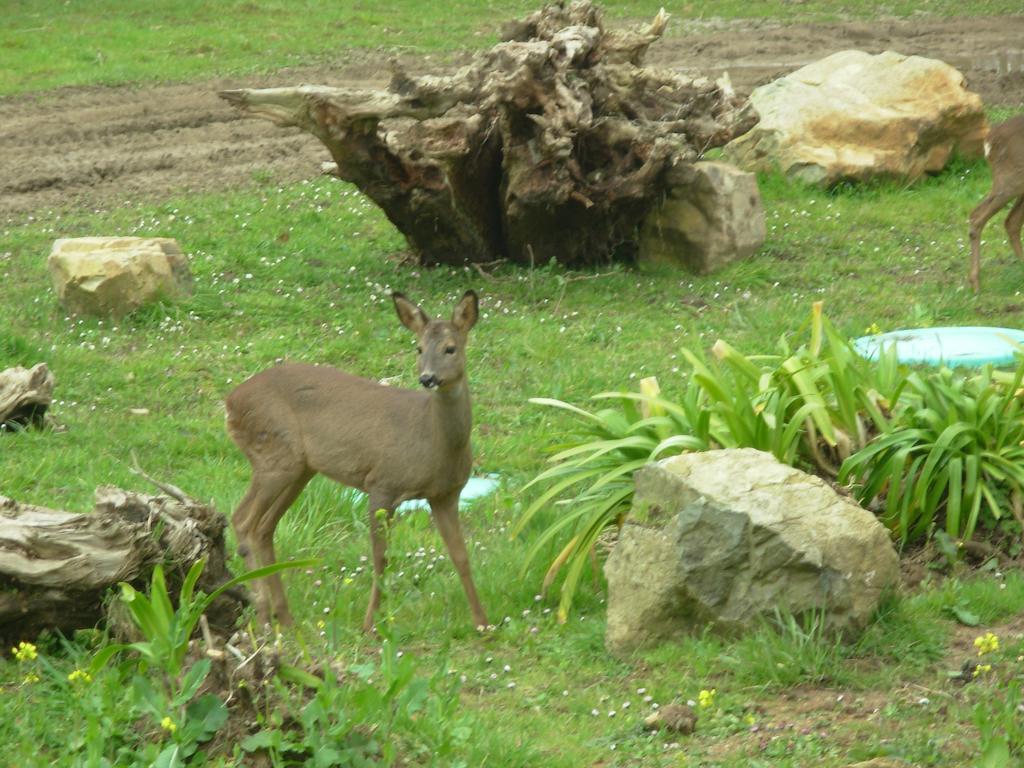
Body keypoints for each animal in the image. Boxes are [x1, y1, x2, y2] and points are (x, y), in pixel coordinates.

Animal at [226, 288, 489, 630]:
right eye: (418, 348)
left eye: (450, 348)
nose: (427, 378)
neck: (432, 442)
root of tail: (229, 402)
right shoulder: (382, 484)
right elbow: (381, 559)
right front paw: (369, 625)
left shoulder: (445, 494)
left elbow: (461, 556)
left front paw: (483, 623)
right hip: (274, 454)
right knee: (242, 520)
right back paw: (263, 613)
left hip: (300, 469)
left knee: (263, 527)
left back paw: (285, 617)